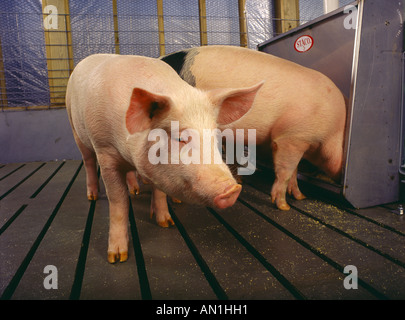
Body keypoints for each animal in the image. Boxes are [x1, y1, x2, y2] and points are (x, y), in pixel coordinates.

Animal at [65, 53, 262, 262]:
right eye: (180, 138)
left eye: (215, 136)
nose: (233, 189)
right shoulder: (105, 151)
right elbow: (118, 201)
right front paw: (117, 257)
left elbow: (159, 191)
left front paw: (166, 223)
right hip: (75, 129)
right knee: (88, 161)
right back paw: (93, 196)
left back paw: (135, 190)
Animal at [160, 45, 344, 210]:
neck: (335, 132)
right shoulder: (292, 137)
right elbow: (285, 171)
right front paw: (284, 207)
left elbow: (294, 171)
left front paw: (300, 197)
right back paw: (176, 202)